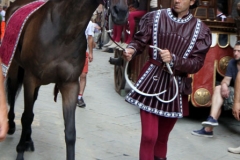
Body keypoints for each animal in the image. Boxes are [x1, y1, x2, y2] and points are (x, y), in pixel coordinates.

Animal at [4, 0, 127, 160]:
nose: (121, 12)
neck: (65, 31)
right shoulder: (30, 78)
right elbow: (26, 117)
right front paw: (20, 151)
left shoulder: (70, 84)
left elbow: (70, 131)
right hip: (14, 66)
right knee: (13, 93)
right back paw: (12, 125)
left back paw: (28, 139)